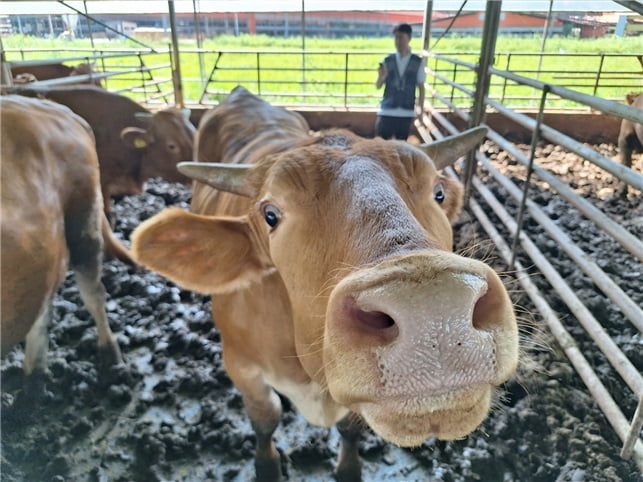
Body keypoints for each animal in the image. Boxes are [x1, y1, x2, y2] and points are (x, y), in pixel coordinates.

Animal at [131, 84, 520, 480]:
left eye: (438, 193)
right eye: (270, 215)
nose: (433, 314)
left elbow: (349, 426)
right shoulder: (239, 363)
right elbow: (265, 417)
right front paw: (266, 465)